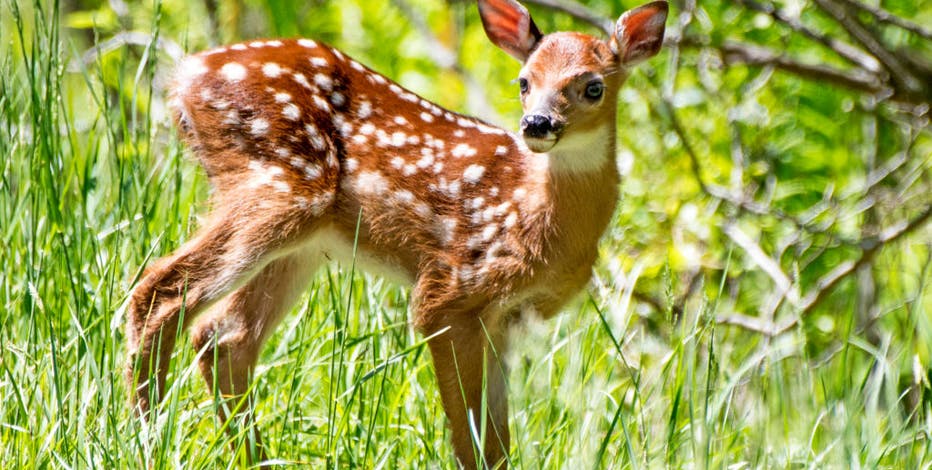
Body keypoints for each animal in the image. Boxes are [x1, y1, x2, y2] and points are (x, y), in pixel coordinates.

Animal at [125, 0, 668, 467]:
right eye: (524, 81)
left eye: (593, 86)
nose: (537, 123)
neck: (540, 219)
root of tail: (187, 74)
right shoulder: (449, 290)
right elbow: (471, 440)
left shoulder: (504, 320)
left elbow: (497, 442)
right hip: (279, 185)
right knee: (160, 292)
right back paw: (147, 441)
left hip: (304, 237)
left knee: (224, 336)